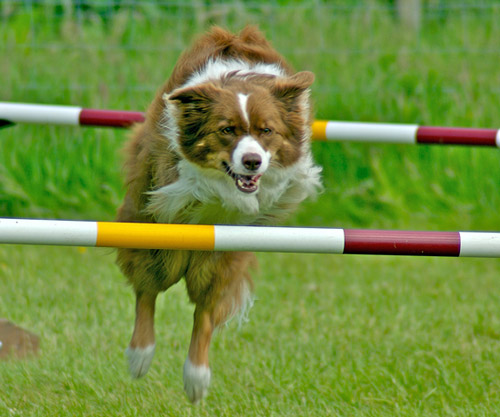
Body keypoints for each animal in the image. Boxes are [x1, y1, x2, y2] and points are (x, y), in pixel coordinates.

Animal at [116, 26, 322, 404]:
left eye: (266, 130)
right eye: (227, 130)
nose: (252, 161)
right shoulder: (170, 180)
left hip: (220, 259)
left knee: (205, 308)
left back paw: (196, 377)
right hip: (156, 240)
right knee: (149, 287)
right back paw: (140, 356)